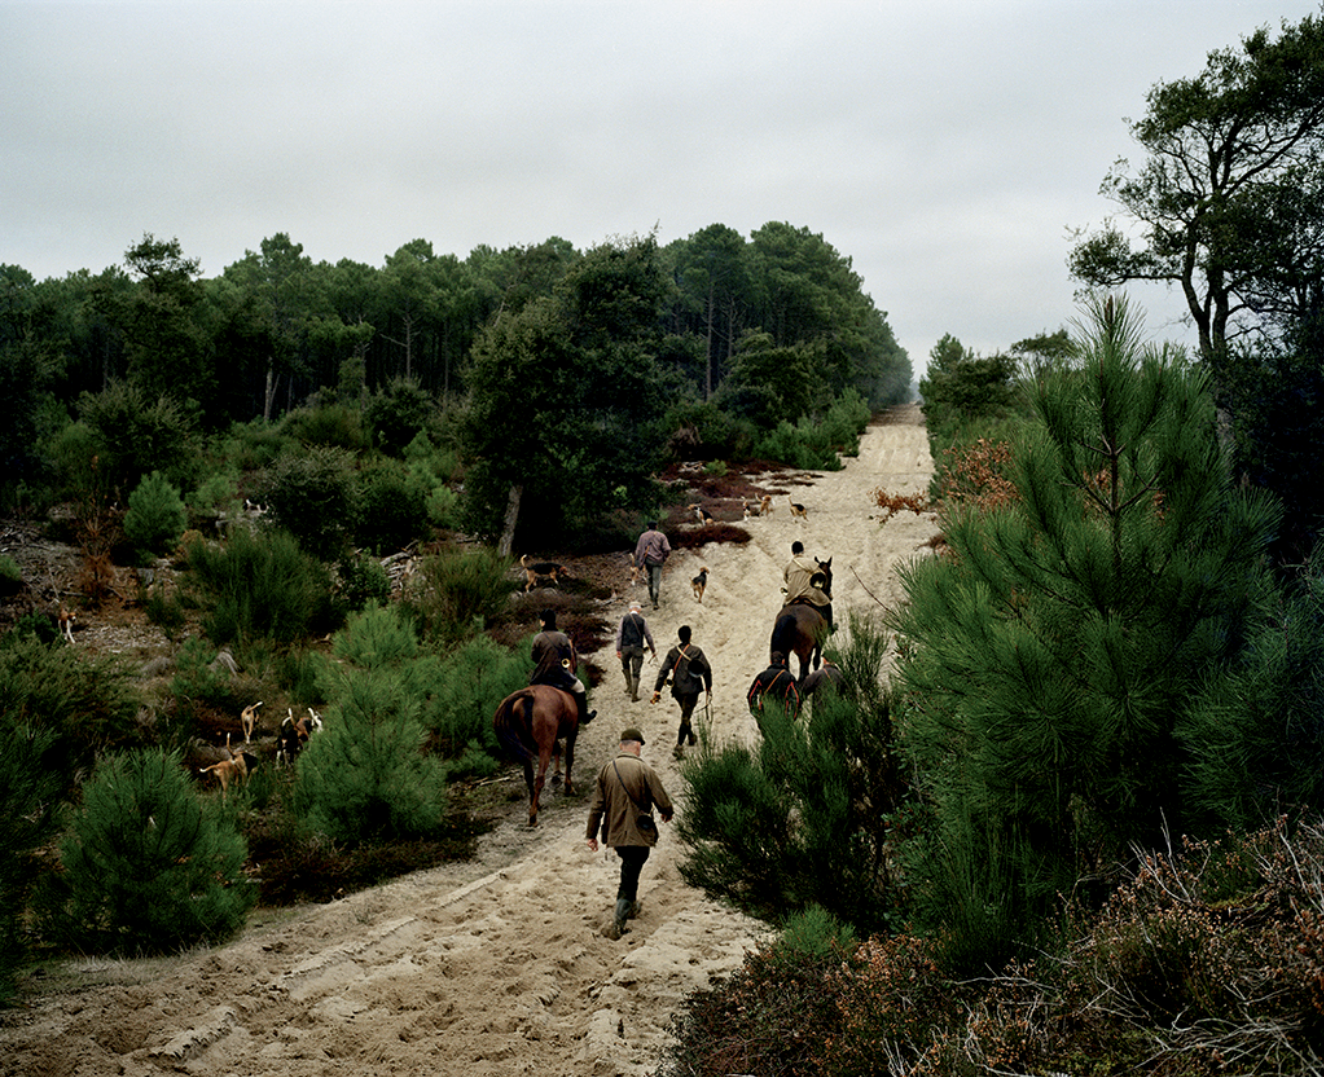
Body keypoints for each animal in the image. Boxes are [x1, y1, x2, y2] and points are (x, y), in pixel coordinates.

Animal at [492, 685, 581, 826]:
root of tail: (530, 694)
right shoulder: (573, 730)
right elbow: (569, 758)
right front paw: (568, 787)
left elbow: (558, 750)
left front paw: (557, 774)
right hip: (545, 744)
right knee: (539, 778)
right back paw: (533, 816)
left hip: (526, 743)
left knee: (528, 774)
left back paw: (536, 804)